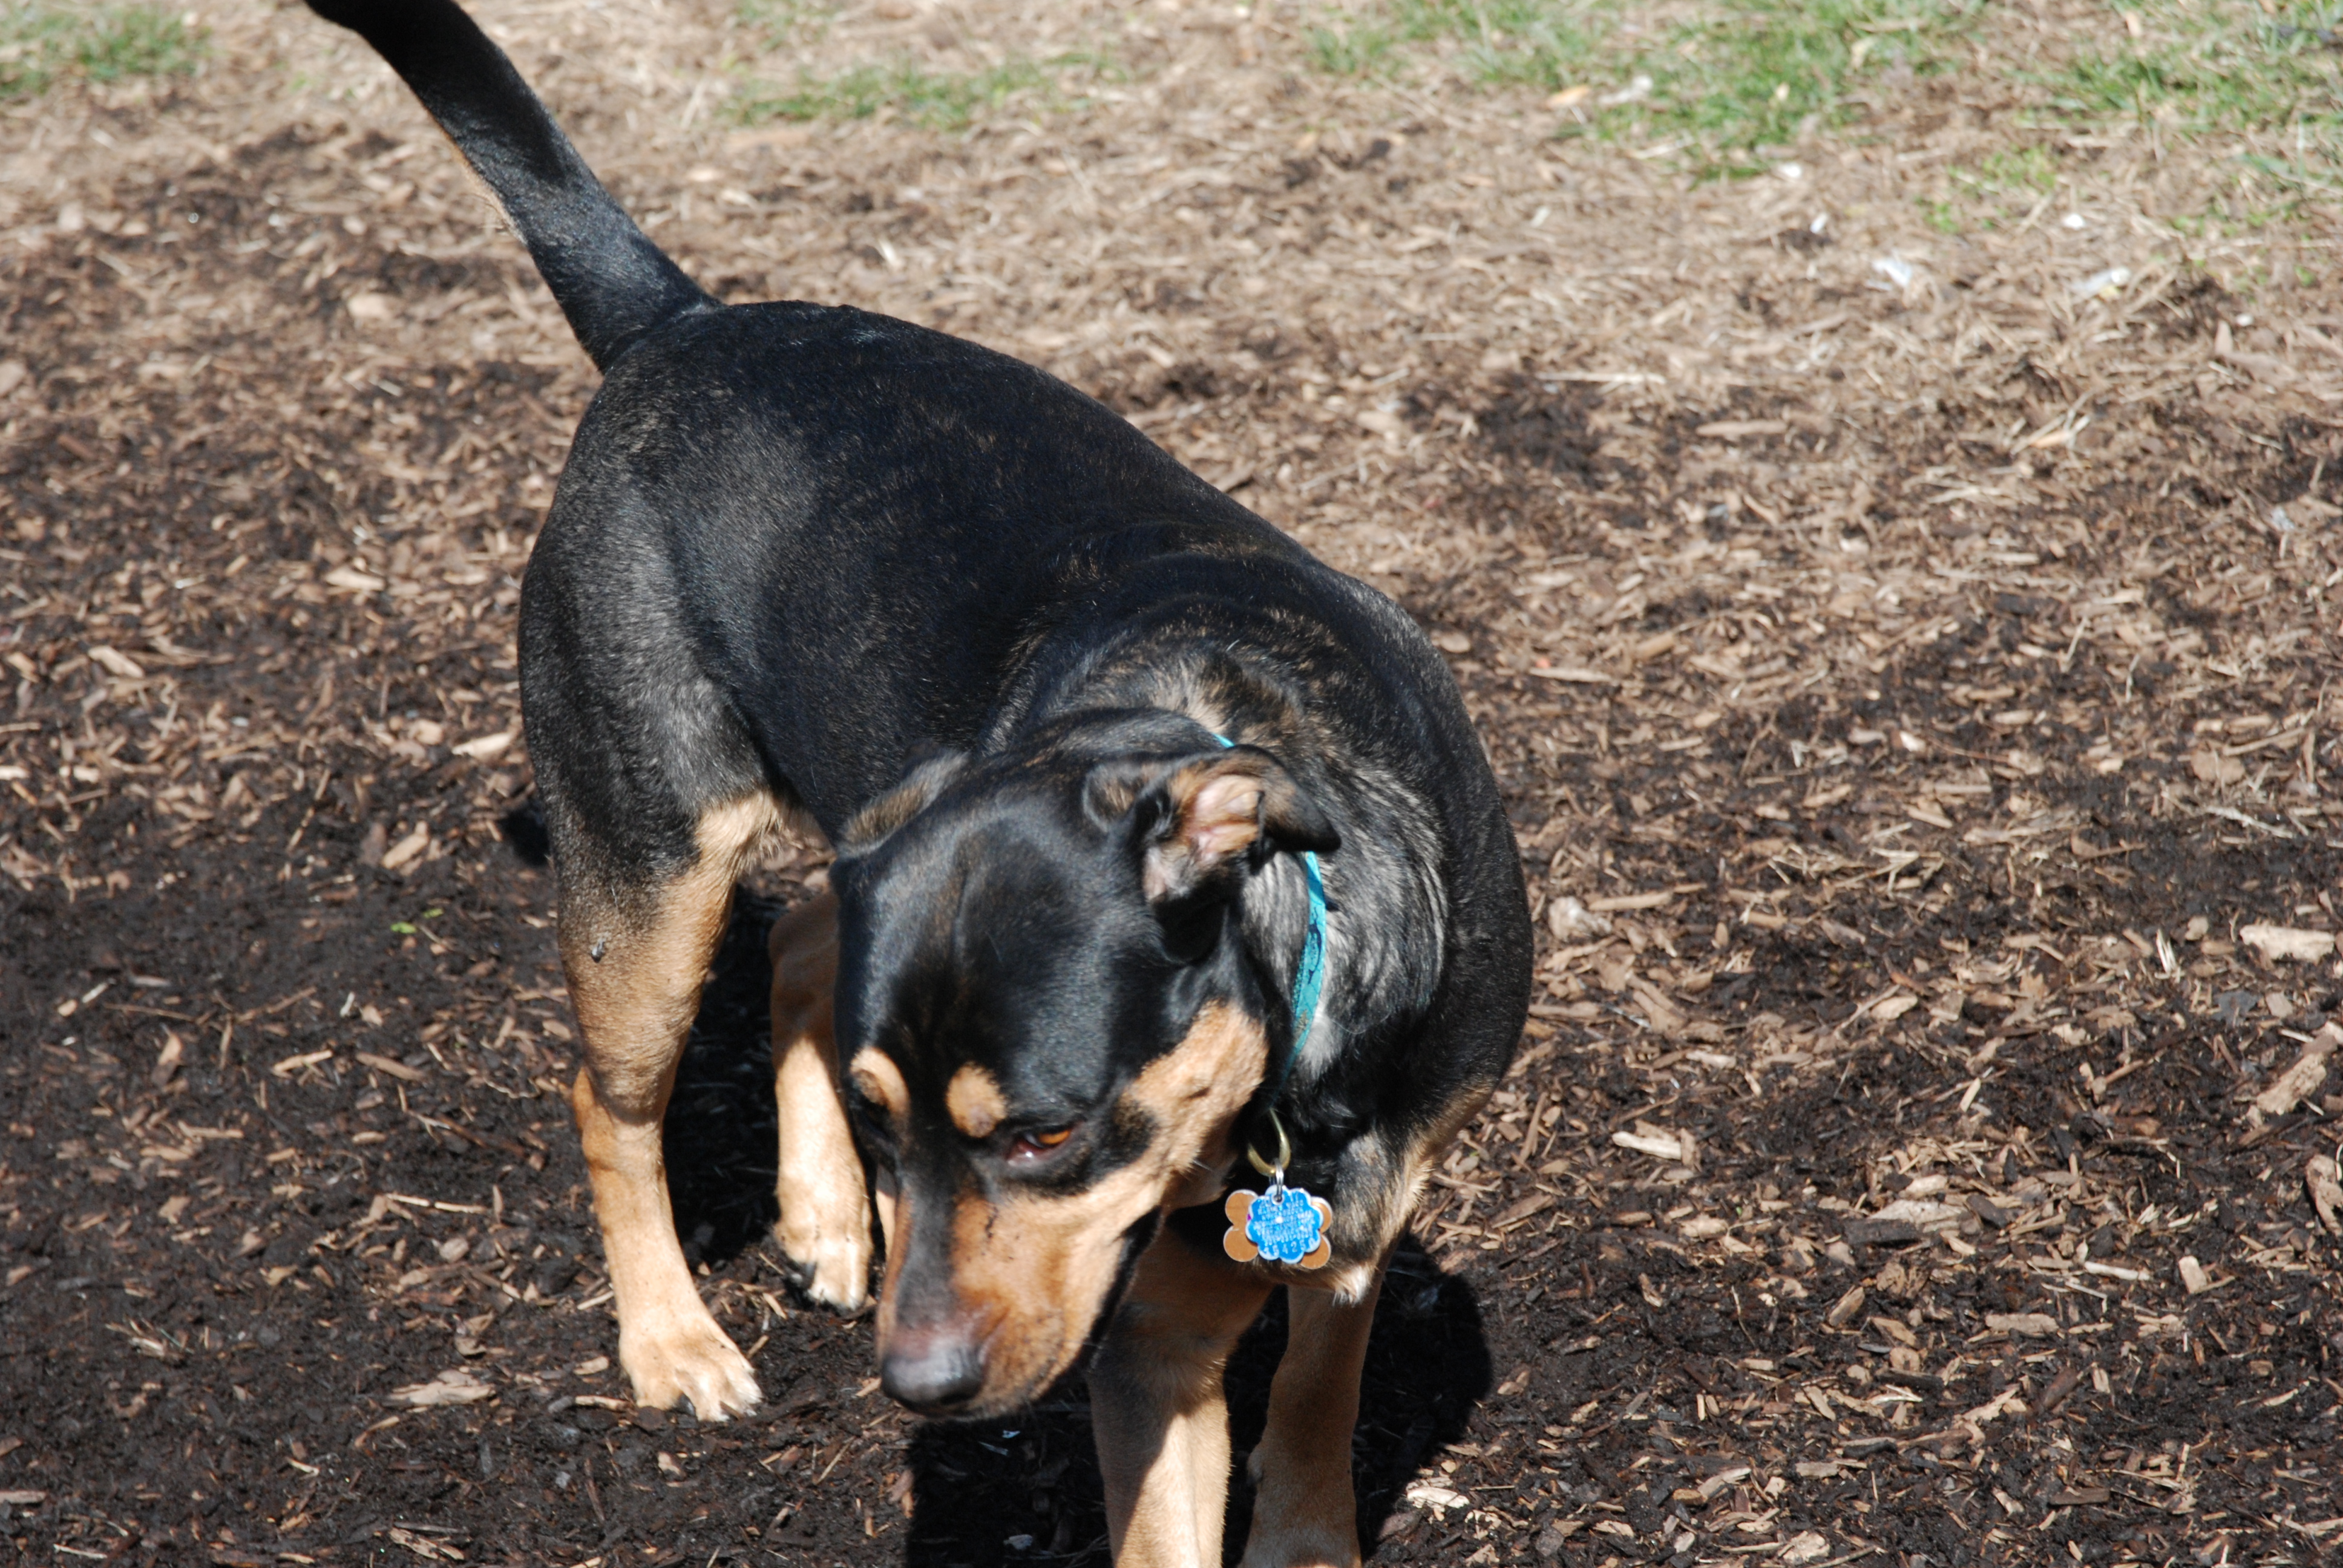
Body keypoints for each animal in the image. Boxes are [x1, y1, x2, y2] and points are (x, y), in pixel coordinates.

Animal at [303, 4, 1532, 1562]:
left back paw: (822, 1221)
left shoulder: (1359, 1222)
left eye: (1046, 1133)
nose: (918, 1386)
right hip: (649, 871)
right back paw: (674, 1340)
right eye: (892, 1120)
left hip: (851, 811)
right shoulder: (1153, 1342)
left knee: (805, 944)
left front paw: (1310, 1525)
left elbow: (1323, 1387)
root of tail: (678, 324)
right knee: (609, 1096)